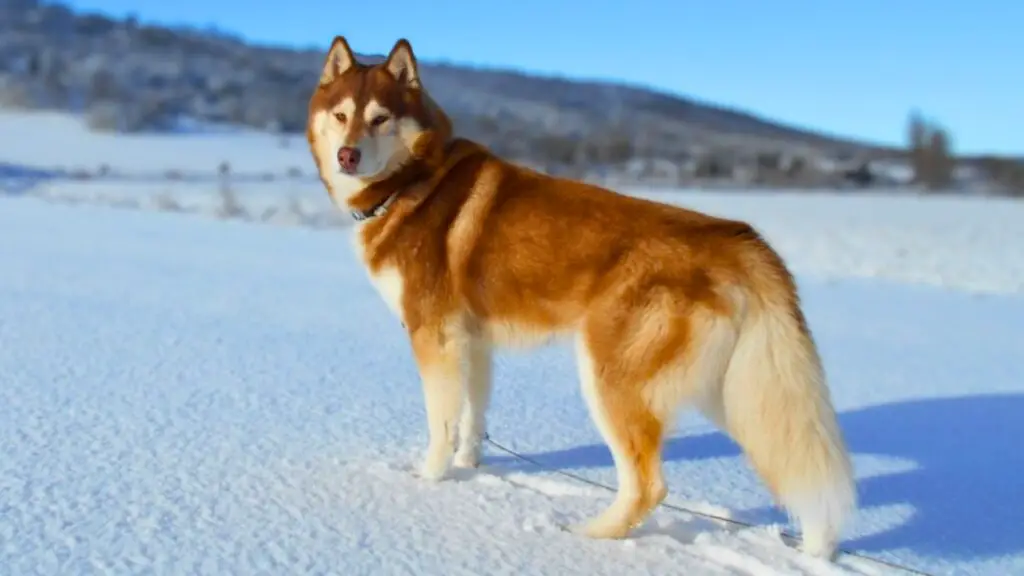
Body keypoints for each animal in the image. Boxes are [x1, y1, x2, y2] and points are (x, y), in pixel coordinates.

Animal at [303, 35, 856, 557]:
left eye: (380, 118)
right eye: (342, 115)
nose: (347, 155)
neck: (413, 180)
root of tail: (735, 237)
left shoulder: (432, 336)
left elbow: (440, 424)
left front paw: (428, 481)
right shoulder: (472, 342)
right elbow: (471, 418)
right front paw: (469, 468)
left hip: (611, 380)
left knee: (648, 485)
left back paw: (588, 536)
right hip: (736, 391)